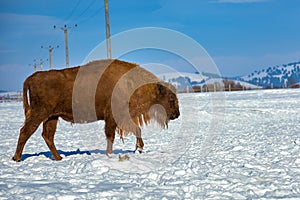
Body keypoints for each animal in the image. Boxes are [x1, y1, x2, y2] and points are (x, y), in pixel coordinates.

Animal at [11, 59, 179, 161]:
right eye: (171, 98)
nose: (176, 114)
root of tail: (33, 77)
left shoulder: (122, 118)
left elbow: (136, 130)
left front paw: (139, 148)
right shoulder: (113, 118)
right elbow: (111, 136)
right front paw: (111, 154)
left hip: (52, 117)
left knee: (47, 135)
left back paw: (58, 158)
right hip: (39, 114)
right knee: (25, 131)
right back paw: (17, 158)